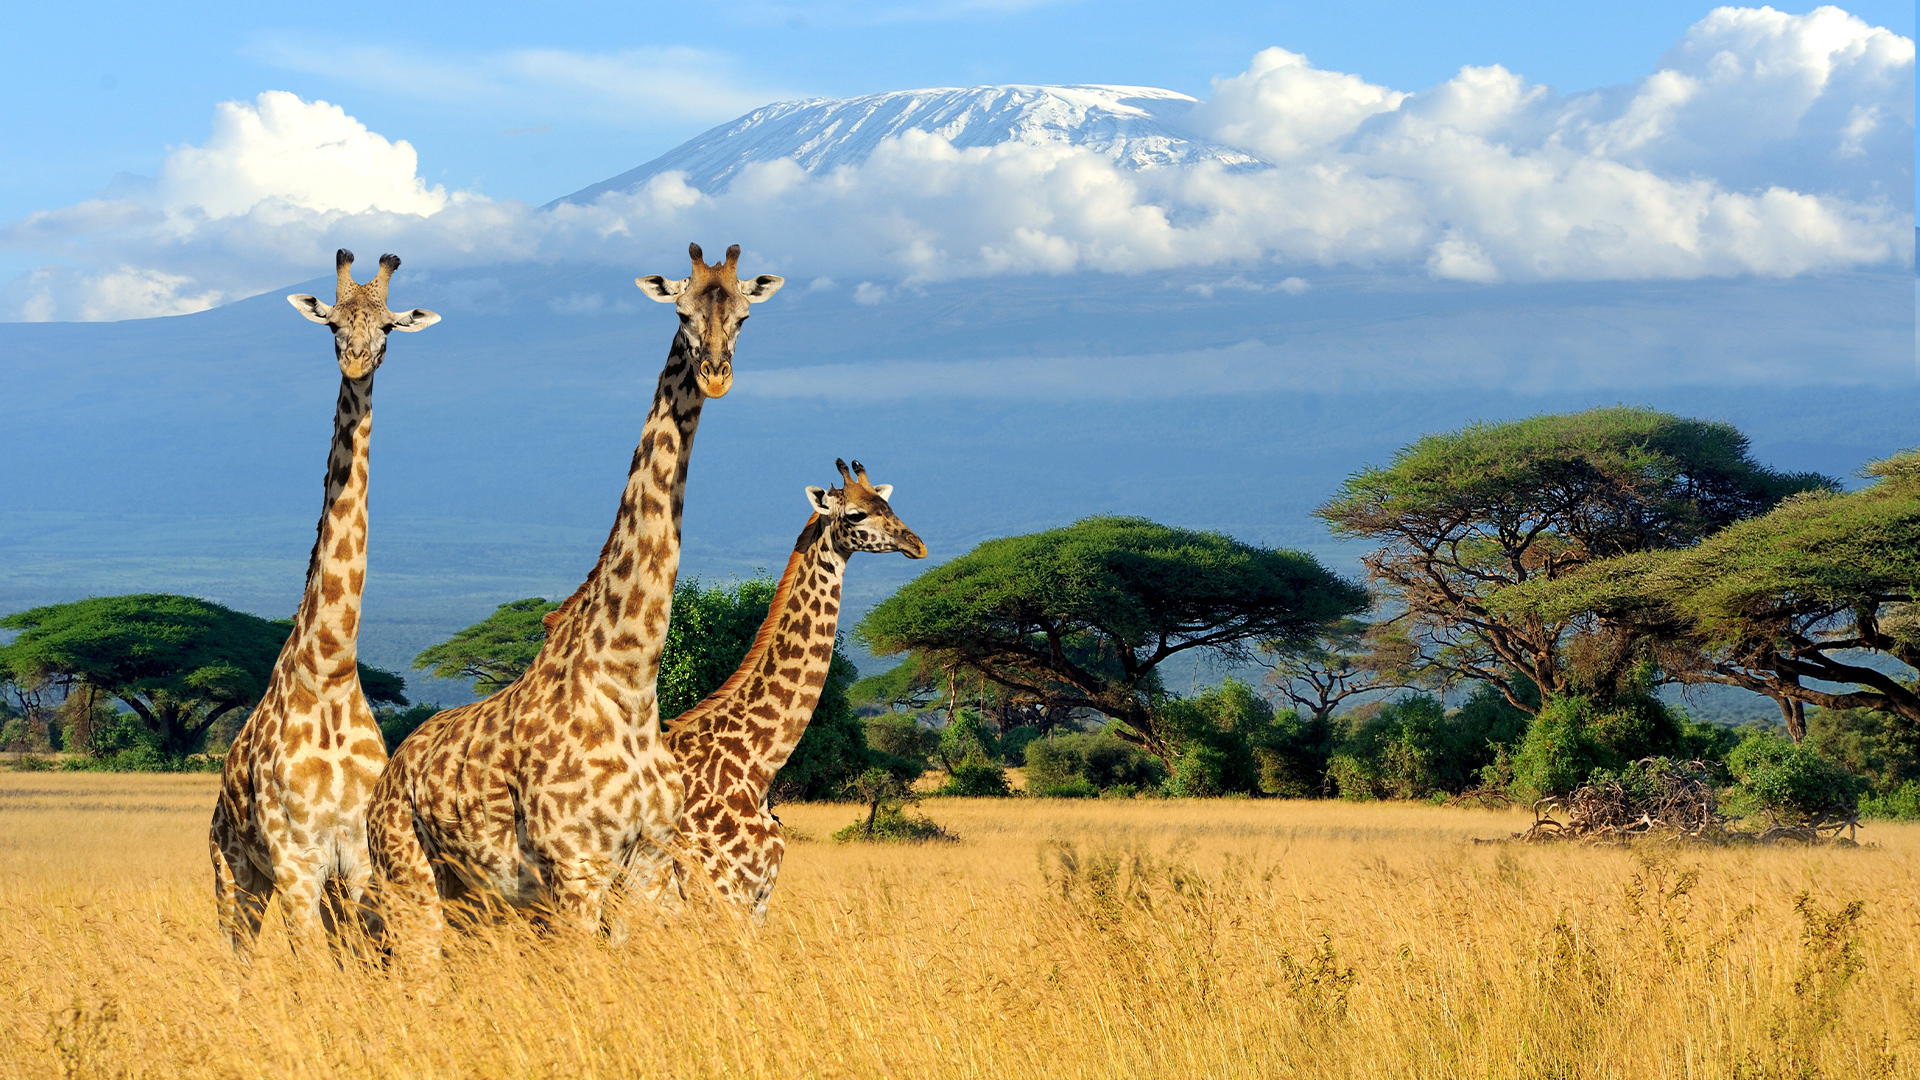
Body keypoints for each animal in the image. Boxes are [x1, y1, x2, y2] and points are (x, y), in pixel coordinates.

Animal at [209, 245, 439, 949]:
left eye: (388, 327)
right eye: (333, 324)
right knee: (237, 953)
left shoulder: (358, 861)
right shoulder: (296, 862)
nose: (357, 361)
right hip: (234, 873)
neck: (332, 669)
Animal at [366, 239, 787, 945]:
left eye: (745, 316)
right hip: (410, 880)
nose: (715, 374)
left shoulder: (647, 870)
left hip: (477, 903)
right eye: (681, 312)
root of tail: (391, 770)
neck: (629, 680)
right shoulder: (576, 869)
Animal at [668, 455, 921, 914]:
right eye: (855, 514)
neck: (756, 768)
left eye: (888, 504)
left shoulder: (758, 900)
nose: (917, 544)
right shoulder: (719, 894)